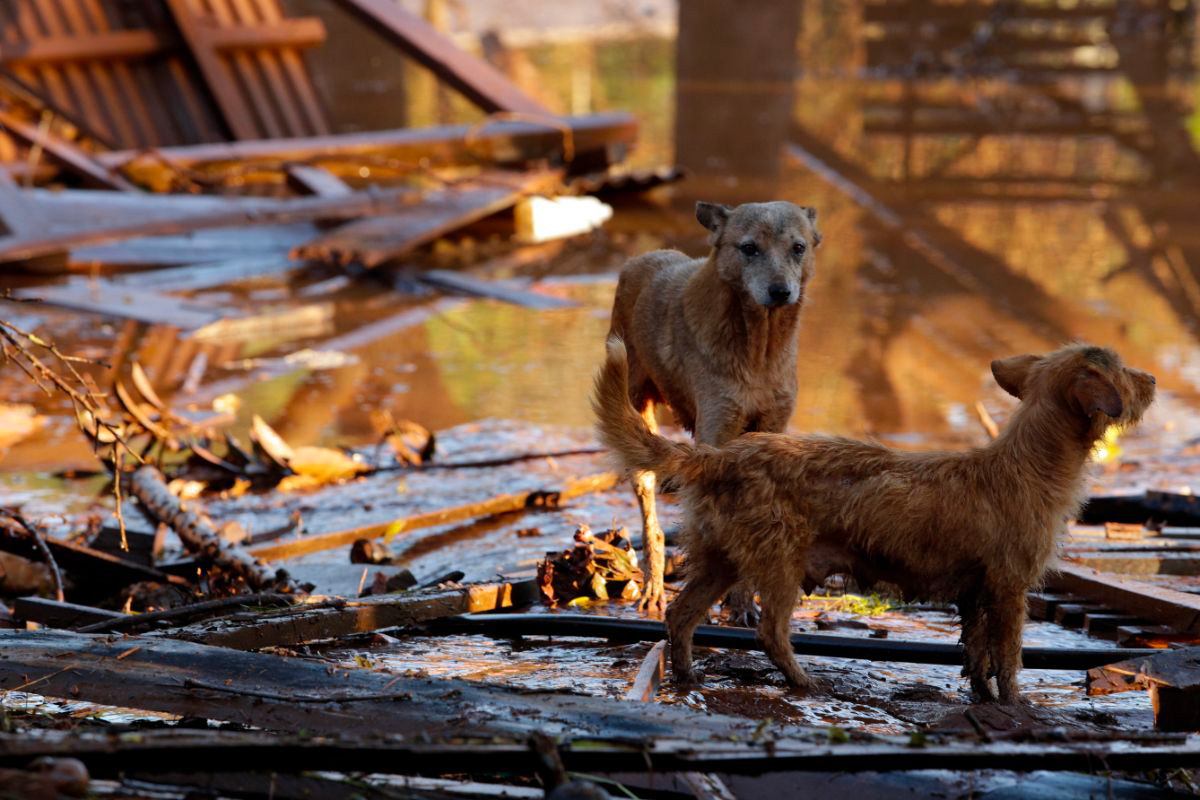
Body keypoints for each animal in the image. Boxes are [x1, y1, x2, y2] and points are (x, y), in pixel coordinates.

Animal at [595, 340, 1156, 705]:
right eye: (1122, 370)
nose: (1151, 379)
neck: (1031, 462)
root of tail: (721, 455)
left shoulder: (975, 592)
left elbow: (977, 655)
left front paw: (983, 696)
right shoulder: (1009, 588)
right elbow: (1010, 657)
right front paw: (1017, 705)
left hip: (721, 558)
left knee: (681, 615)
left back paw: (688, 677)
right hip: (779, 563)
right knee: (771, 631)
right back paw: (804, 682)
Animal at [604, 203, 820, 618]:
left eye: (798, 247)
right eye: (749, 248)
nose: (780, 291)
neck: (759, 355)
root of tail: (641, 258)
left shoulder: (772, 428)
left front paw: (745, 603)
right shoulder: (717, 434)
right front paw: (732, 603)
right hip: (637, 421)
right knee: (651, 522)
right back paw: (654, 588)